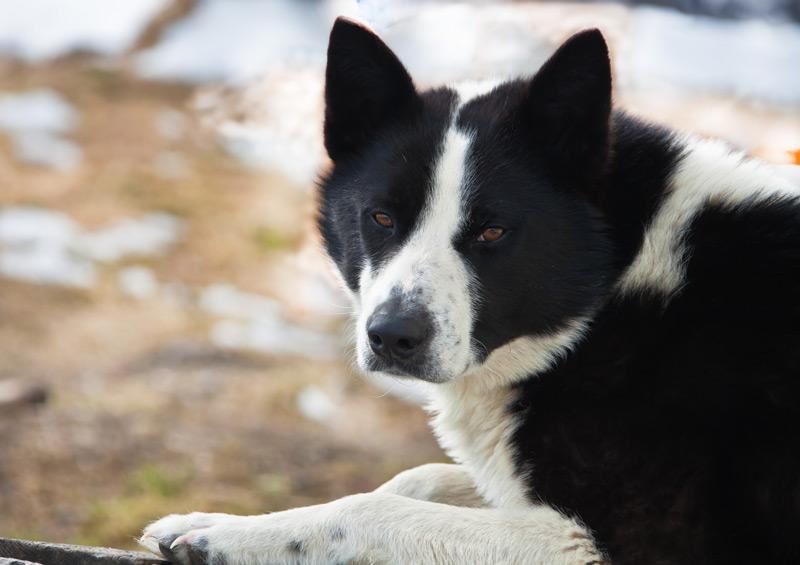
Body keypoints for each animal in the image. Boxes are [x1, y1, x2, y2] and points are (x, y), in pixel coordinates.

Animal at [144, 17, 800, 564]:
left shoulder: (614, 540)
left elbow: (371, 506)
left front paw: (227, 535)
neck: (616, 293)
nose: (392, 337)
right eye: (382, 217)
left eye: (492, 230)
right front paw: (212, 520)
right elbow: (416, 478)